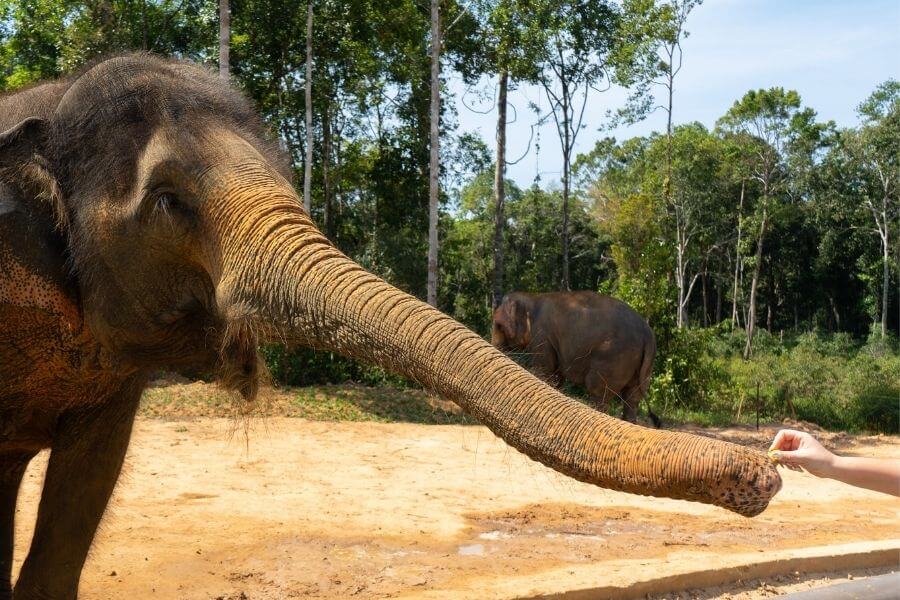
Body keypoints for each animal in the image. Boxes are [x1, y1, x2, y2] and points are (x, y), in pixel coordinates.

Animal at [492, 291, 660, 426]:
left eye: (499, 325)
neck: (532, 298)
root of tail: (647, 334)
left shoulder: (542, 336)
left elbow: (544, 371)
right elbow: (556, 377)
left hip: (613, 358)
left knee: (598, 391)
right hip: (643, 366)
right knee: (632, 398)